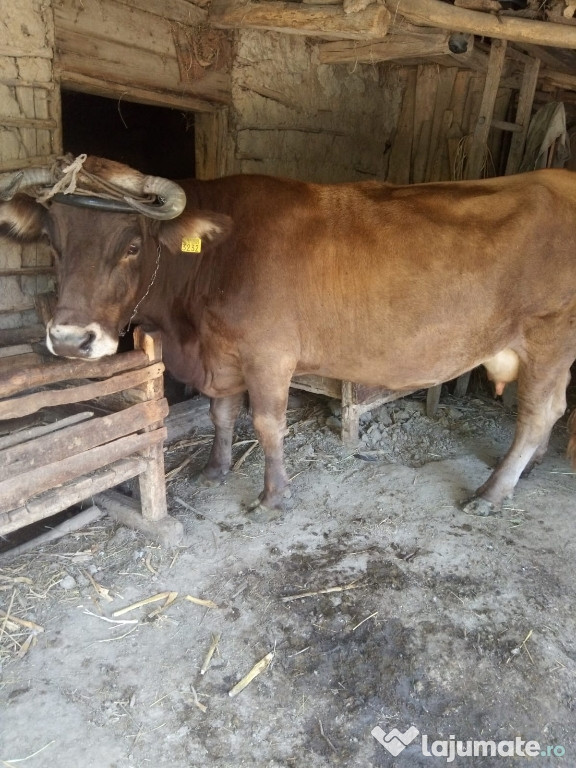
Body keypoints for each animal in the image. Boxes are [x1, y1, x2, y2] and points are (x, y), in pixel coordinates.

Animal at [0, 154, 575, 520]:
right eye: (53, 243)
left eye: (132, 246)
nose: (70, 340)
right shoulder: (222, 356)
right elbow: (221, 414)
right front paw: (215, 469)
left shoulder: (269, 355)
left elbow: (267, 424)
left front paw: (273, 498)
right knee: (554, 410)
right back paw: (530, 468)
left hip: (549, 336)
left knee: (536, 414)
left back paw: (493, 491)